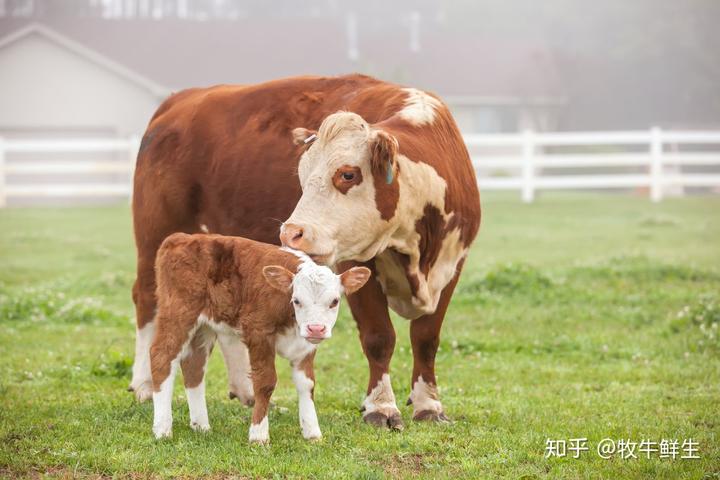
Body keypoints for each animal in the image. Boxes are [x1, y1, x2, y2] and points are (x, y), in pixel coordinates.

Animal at [148, 232, 368, 442]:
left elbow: (307, 384)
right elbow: (265, 382)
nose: (316, 329)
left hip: (204, 326)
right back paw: (162, 429)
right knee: (162, 357)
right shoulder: (258, 333)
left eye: (335, 301)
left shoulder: (305, 345)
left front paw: (312, 432)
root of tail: (181, 237)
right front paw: (259, 435)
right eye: (297, 300)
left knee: (194, 365)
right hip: (178, 313)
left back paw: (201, 426)